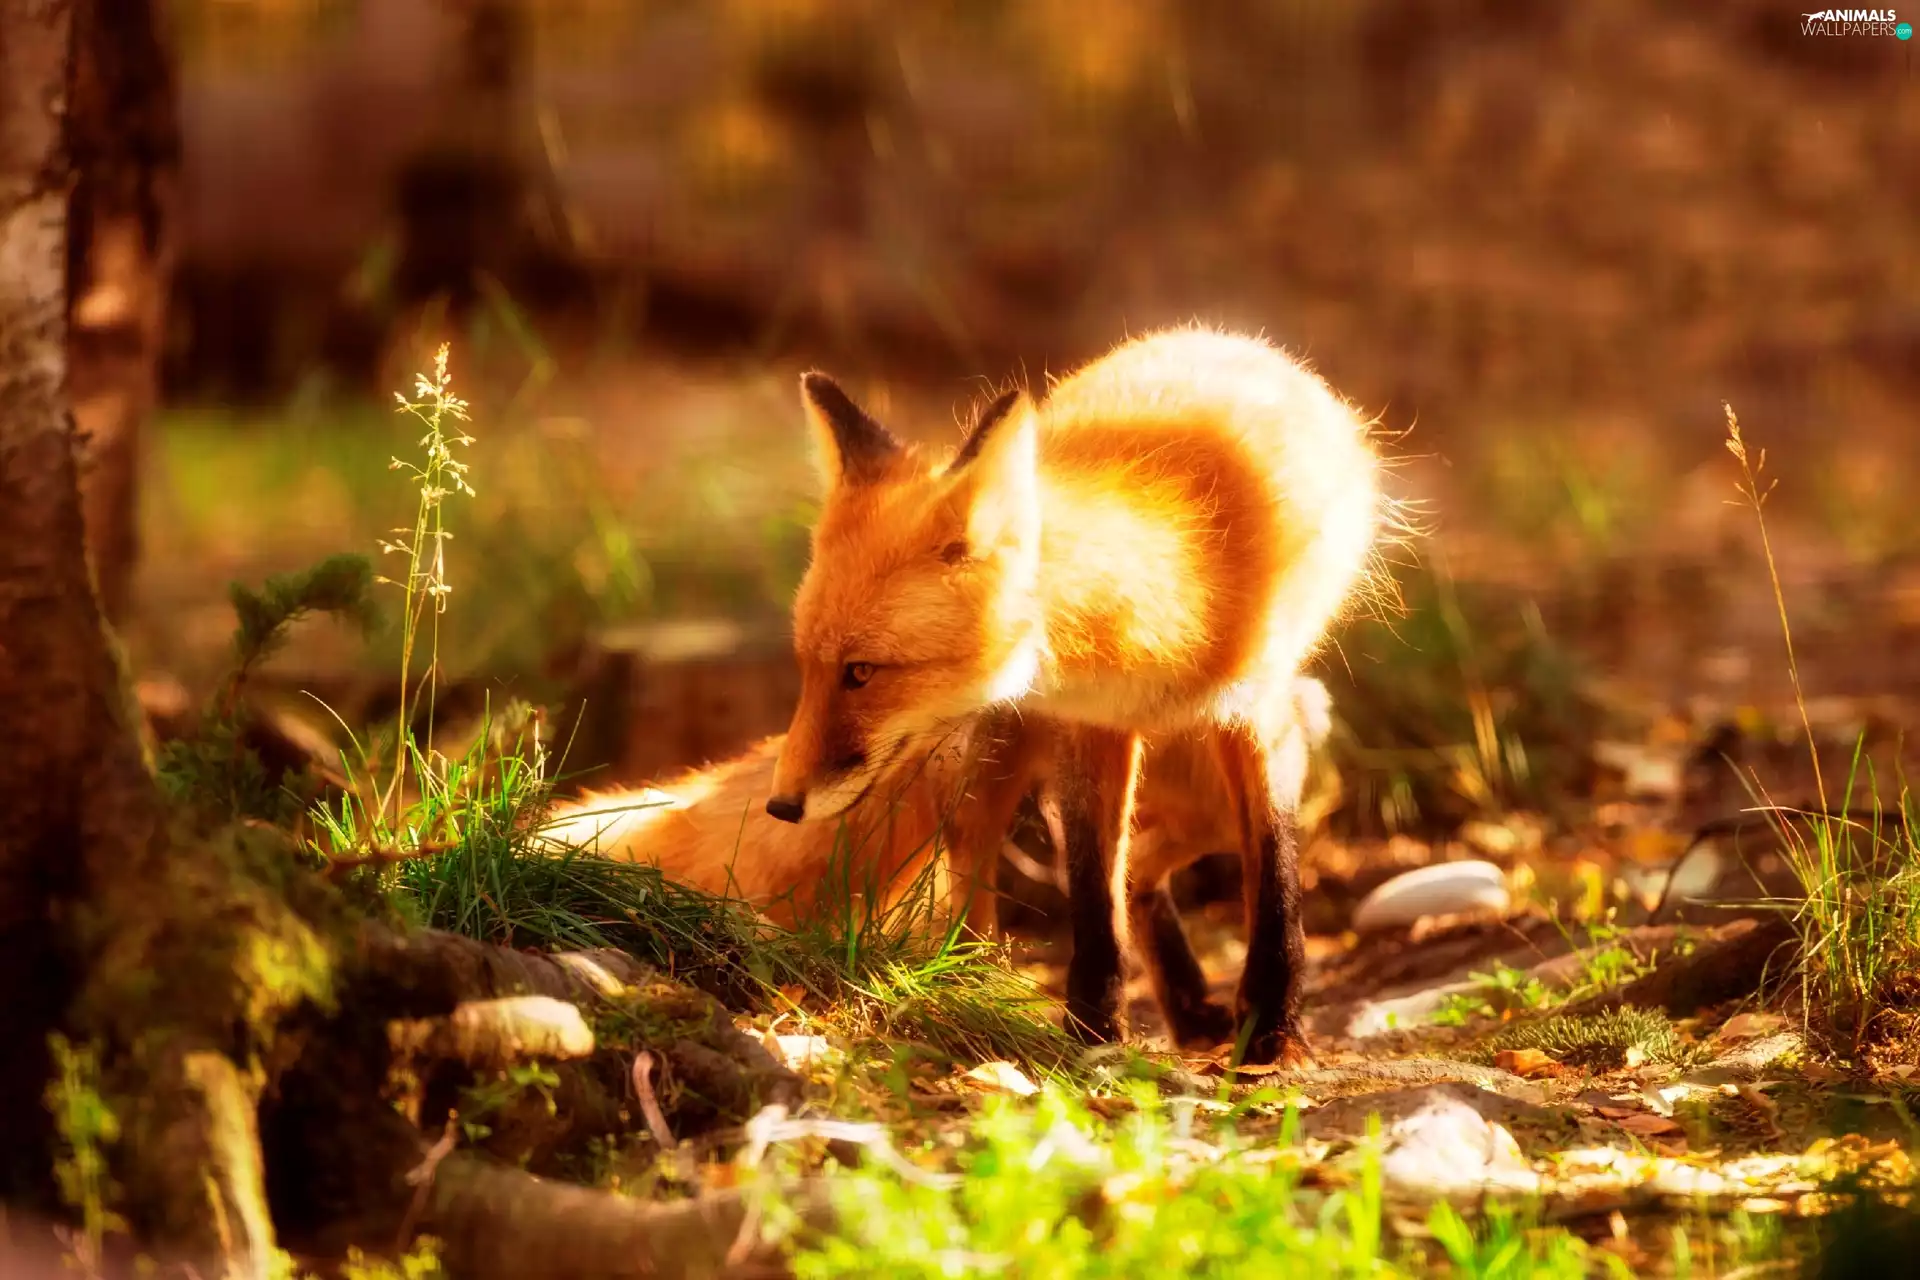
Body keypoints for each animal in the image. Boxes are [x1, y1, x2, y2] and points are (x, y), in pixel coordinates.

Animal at [763, 325, 1388, 1064]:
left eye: (859, 672)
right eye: (807, 667)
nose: (781, 805)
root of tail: (1226, 336)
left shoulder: (1260, 714)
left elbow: (1275, 875)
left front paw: (1273, 1029)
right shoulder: (1089, 727)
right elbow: (1091, 894)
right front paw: (1093, 1029)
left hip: (1235, 765)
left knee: (1147, 864)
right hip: (1013, 745)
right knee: (990, 853)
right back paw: (978, 984)